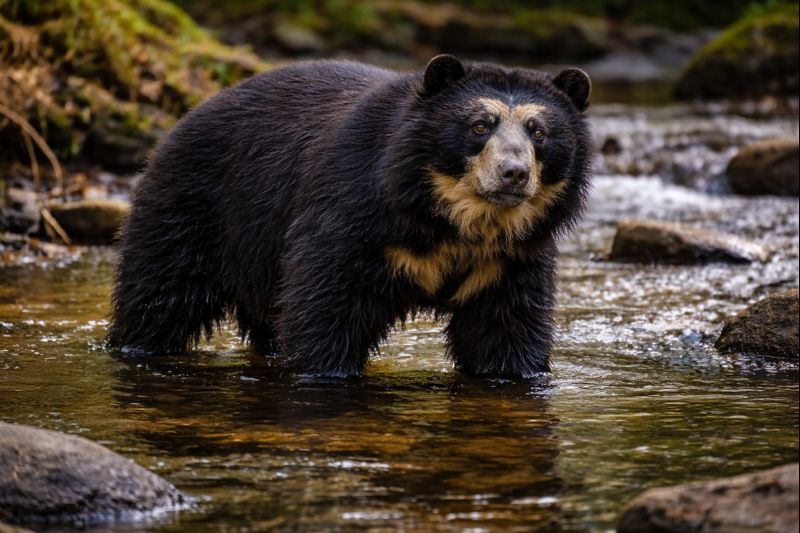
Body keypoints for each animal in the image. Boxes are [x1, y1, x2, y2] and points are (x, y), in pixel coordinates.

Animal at [107, 54, 593, 378]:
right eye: (479, 126)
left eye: (539, 132)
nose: (514, 173)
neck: (455, 221)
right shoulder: (351, 211)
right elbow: (327, 304)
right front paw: (324, 371)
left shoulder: (510, 257)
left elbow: (506, 329)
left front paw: (515, 372)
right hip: (193, 210)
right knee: (158, 296)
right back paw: (136, 346)